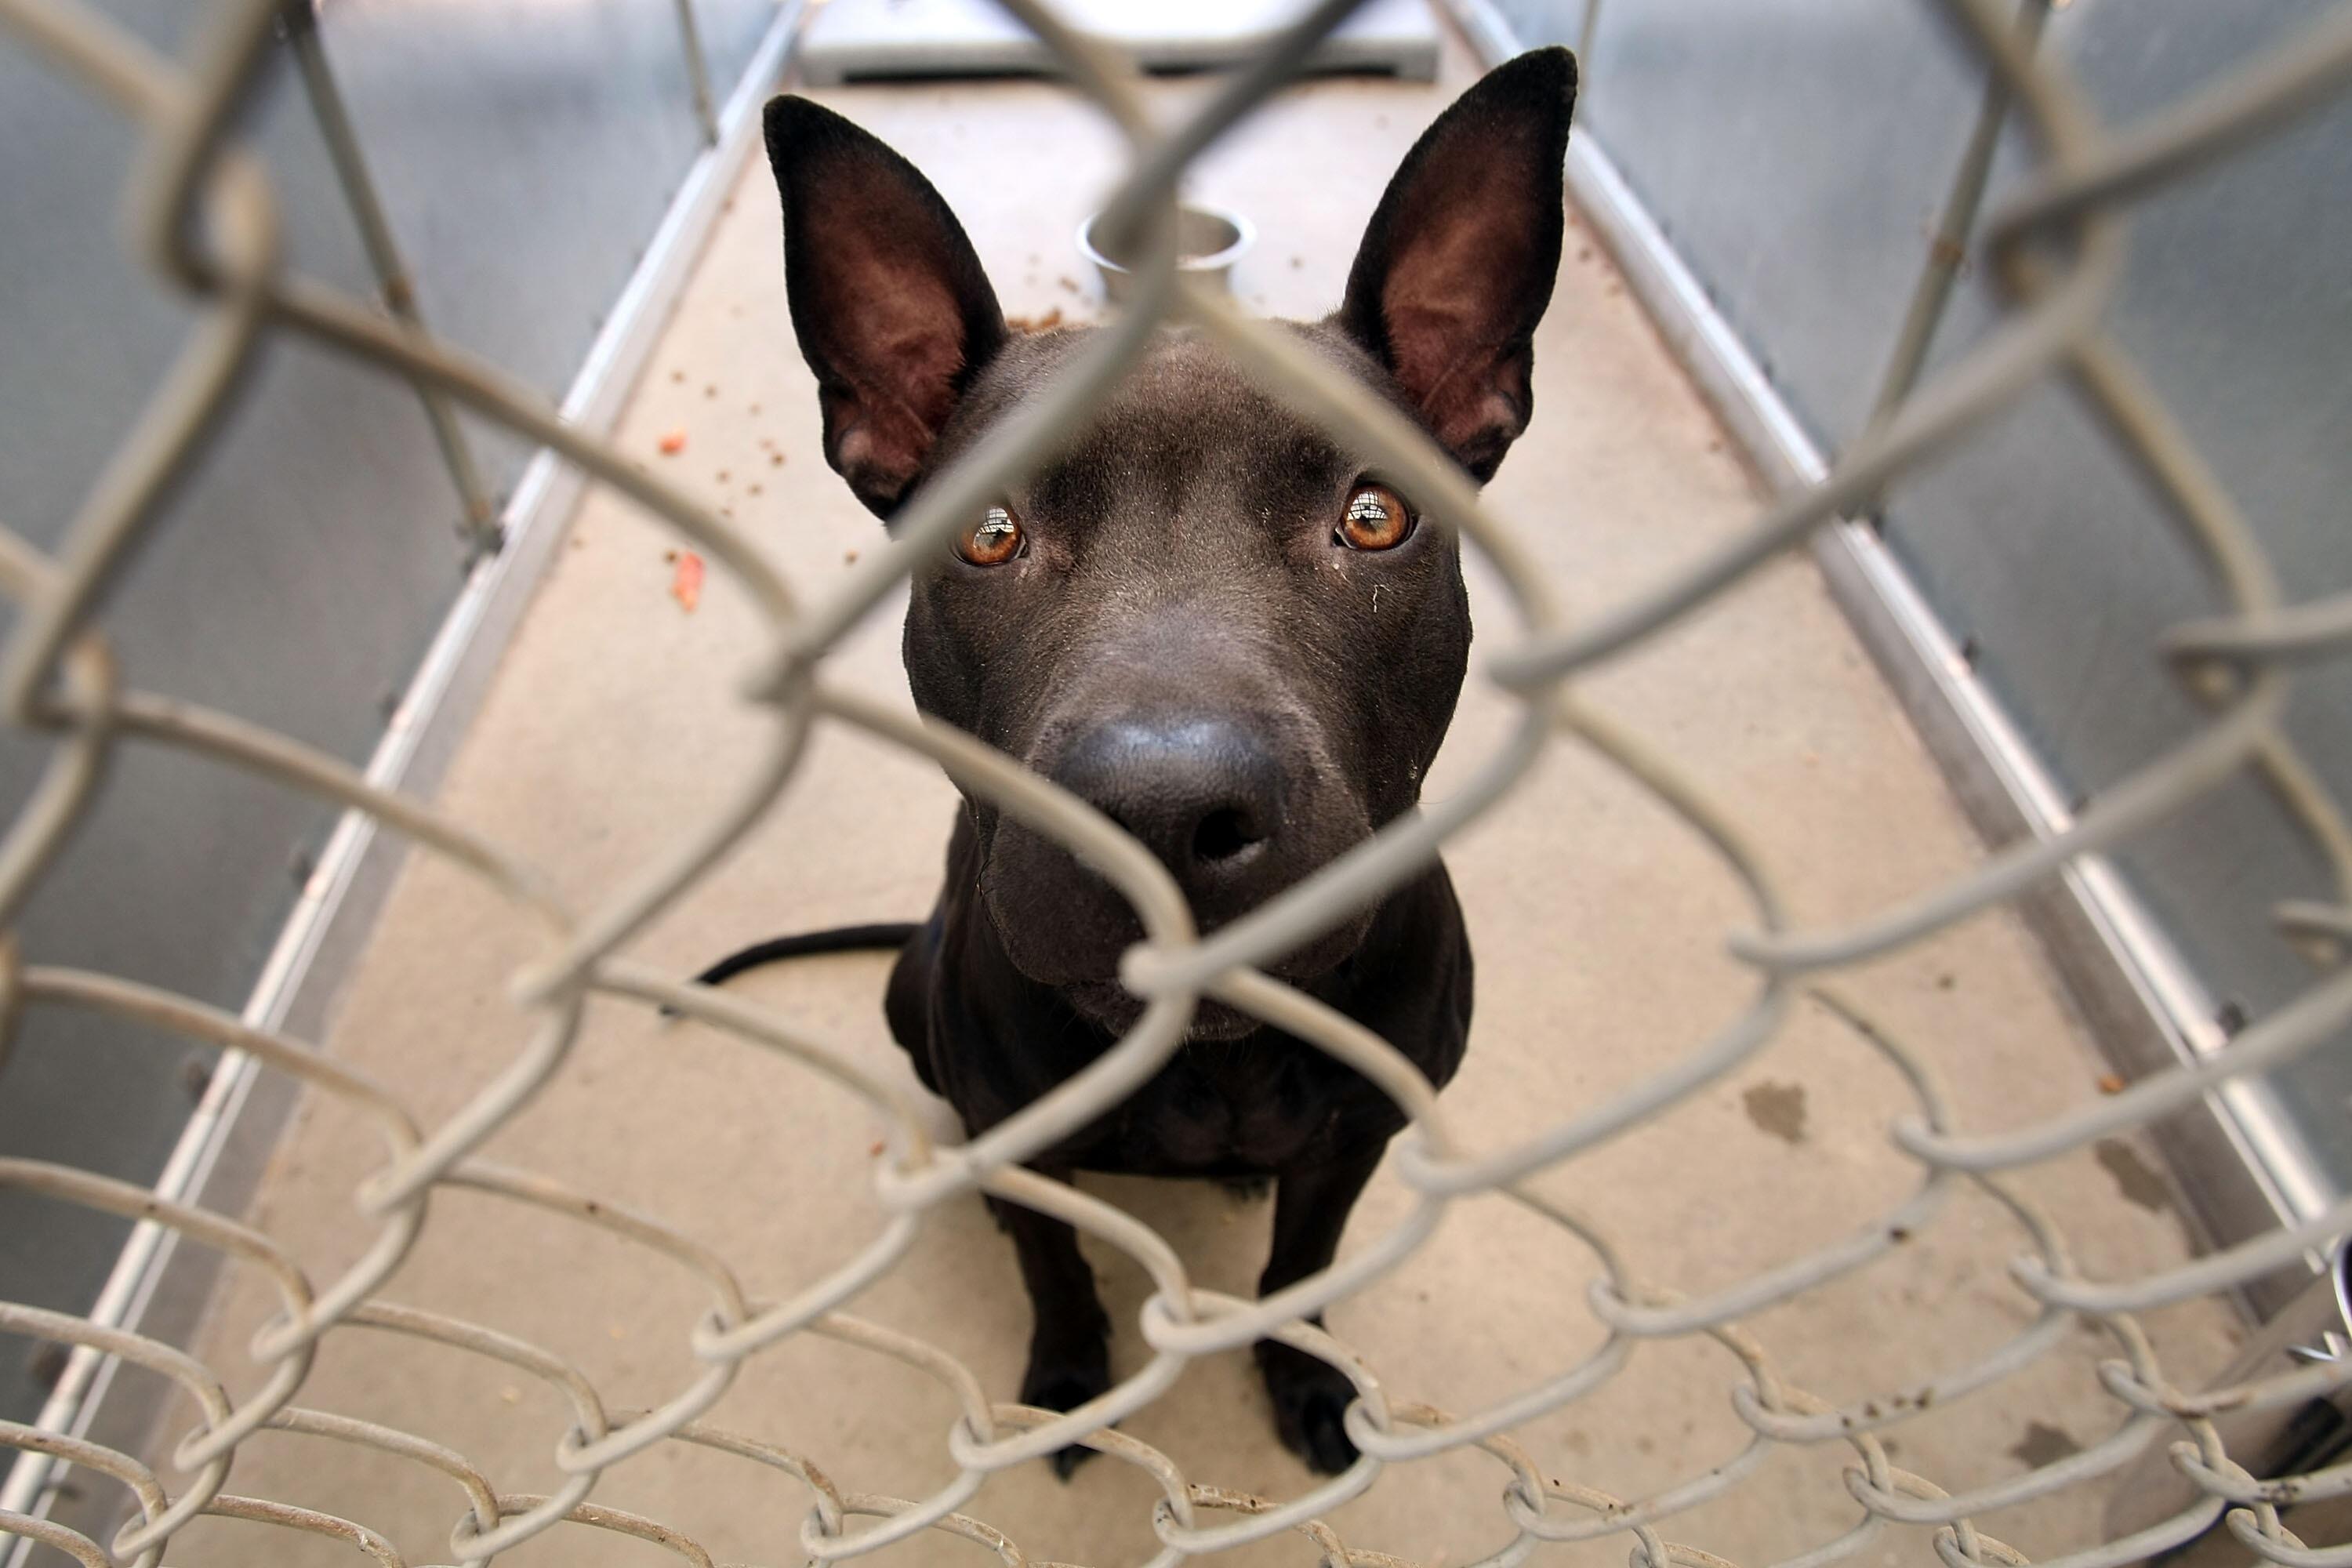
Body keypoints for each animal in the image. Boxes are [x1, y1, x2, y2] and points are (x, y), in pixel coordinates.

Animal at [696, 45, 1581, 1476]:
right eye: (989, 534)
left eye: (1373, 516)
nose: (1163, 814)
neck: (1210, 1054)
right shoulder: (1036, 1151)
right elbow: (1054, 1265)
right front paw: (1068, 1380)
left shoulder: (1359, 1138)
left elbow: (1302, 1269)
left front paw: (1304, 1377)